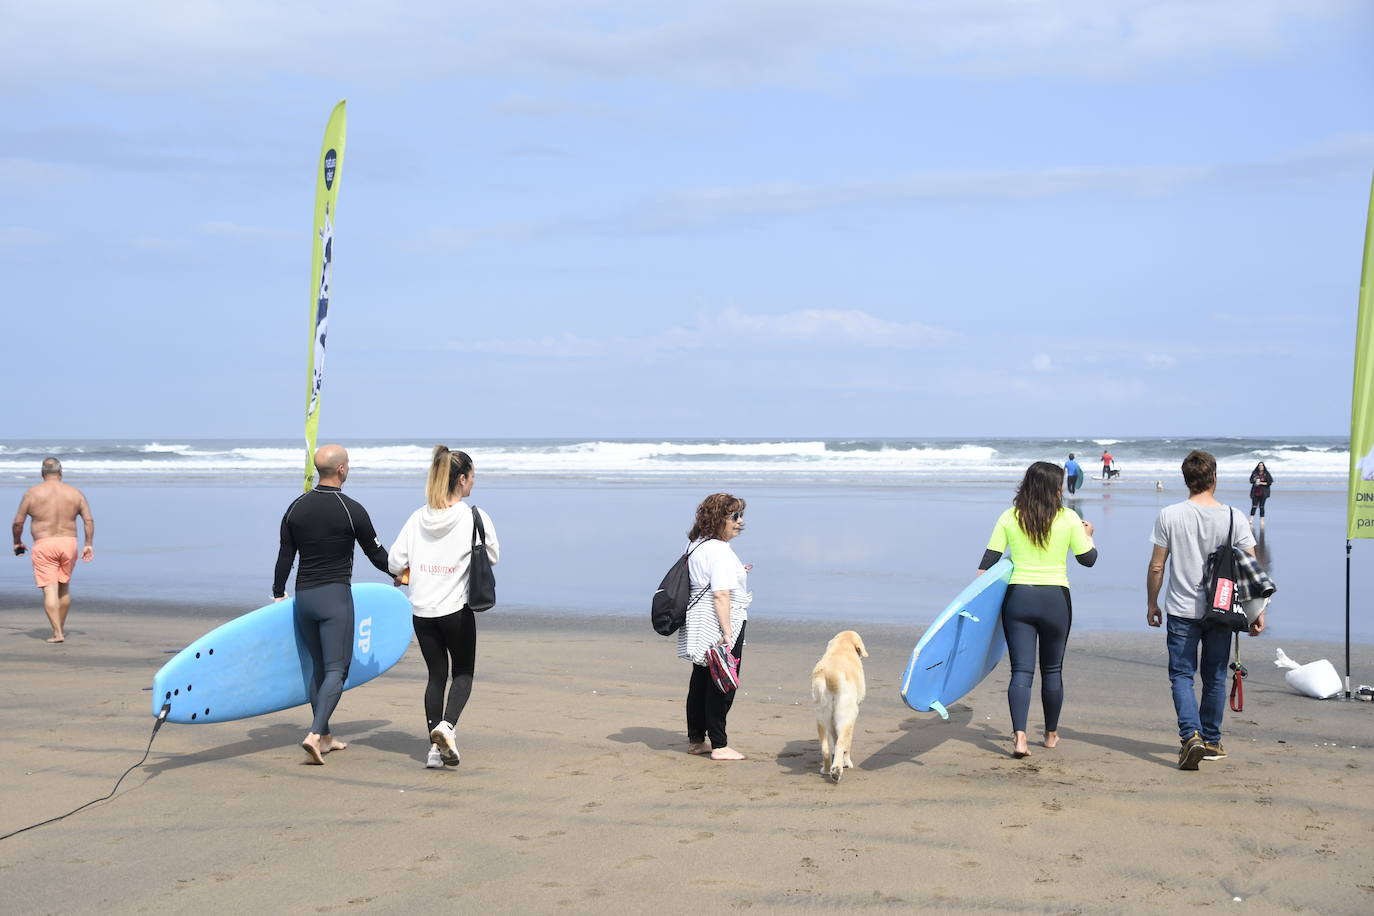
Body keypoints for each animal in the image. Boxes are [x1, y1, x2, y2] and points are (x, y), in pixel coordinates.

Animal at [802, 634, 868, 785]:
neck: (842, 648)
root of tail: (831, 675)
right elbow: (846, 744)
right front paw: (846, 762)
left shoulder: (832, 722)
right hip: (847, 716)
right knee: (840, 744)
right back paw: (837, 770)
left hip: (821, 718)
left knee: (825, 748)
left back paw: (827, 770)